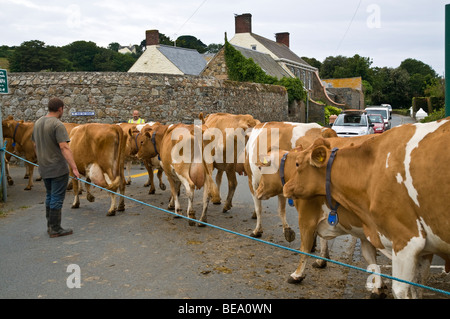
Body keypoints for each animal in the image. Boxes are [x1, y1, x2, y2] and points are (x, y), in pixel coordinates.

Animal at [284, 118, 450, 300]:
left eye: (298, 163)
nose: (286, 187)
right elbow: (411, 281)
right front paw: (378, 288)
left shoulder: (407, 239)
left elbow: (305, 248)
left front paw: (297, 274)